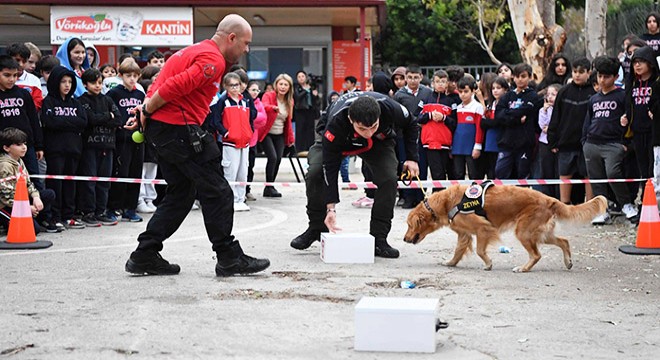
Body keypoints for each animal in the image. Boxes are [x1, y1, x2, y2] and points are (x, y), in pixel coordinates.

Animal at [402, 184, 608, 272]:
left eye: (409, 225)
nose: (404, 239)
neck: (447, 202)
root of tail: (550, 199)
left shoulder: (483, 228)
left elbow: (480, 251)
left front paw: (488, 264)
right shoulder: (464, 234)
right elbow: (458, 251)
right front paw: (451, 263)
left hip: (523, 231)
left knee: (536, 255)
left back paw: (523, 268)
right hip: (540, 233)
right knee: (564, 241)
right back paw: (568, 262)